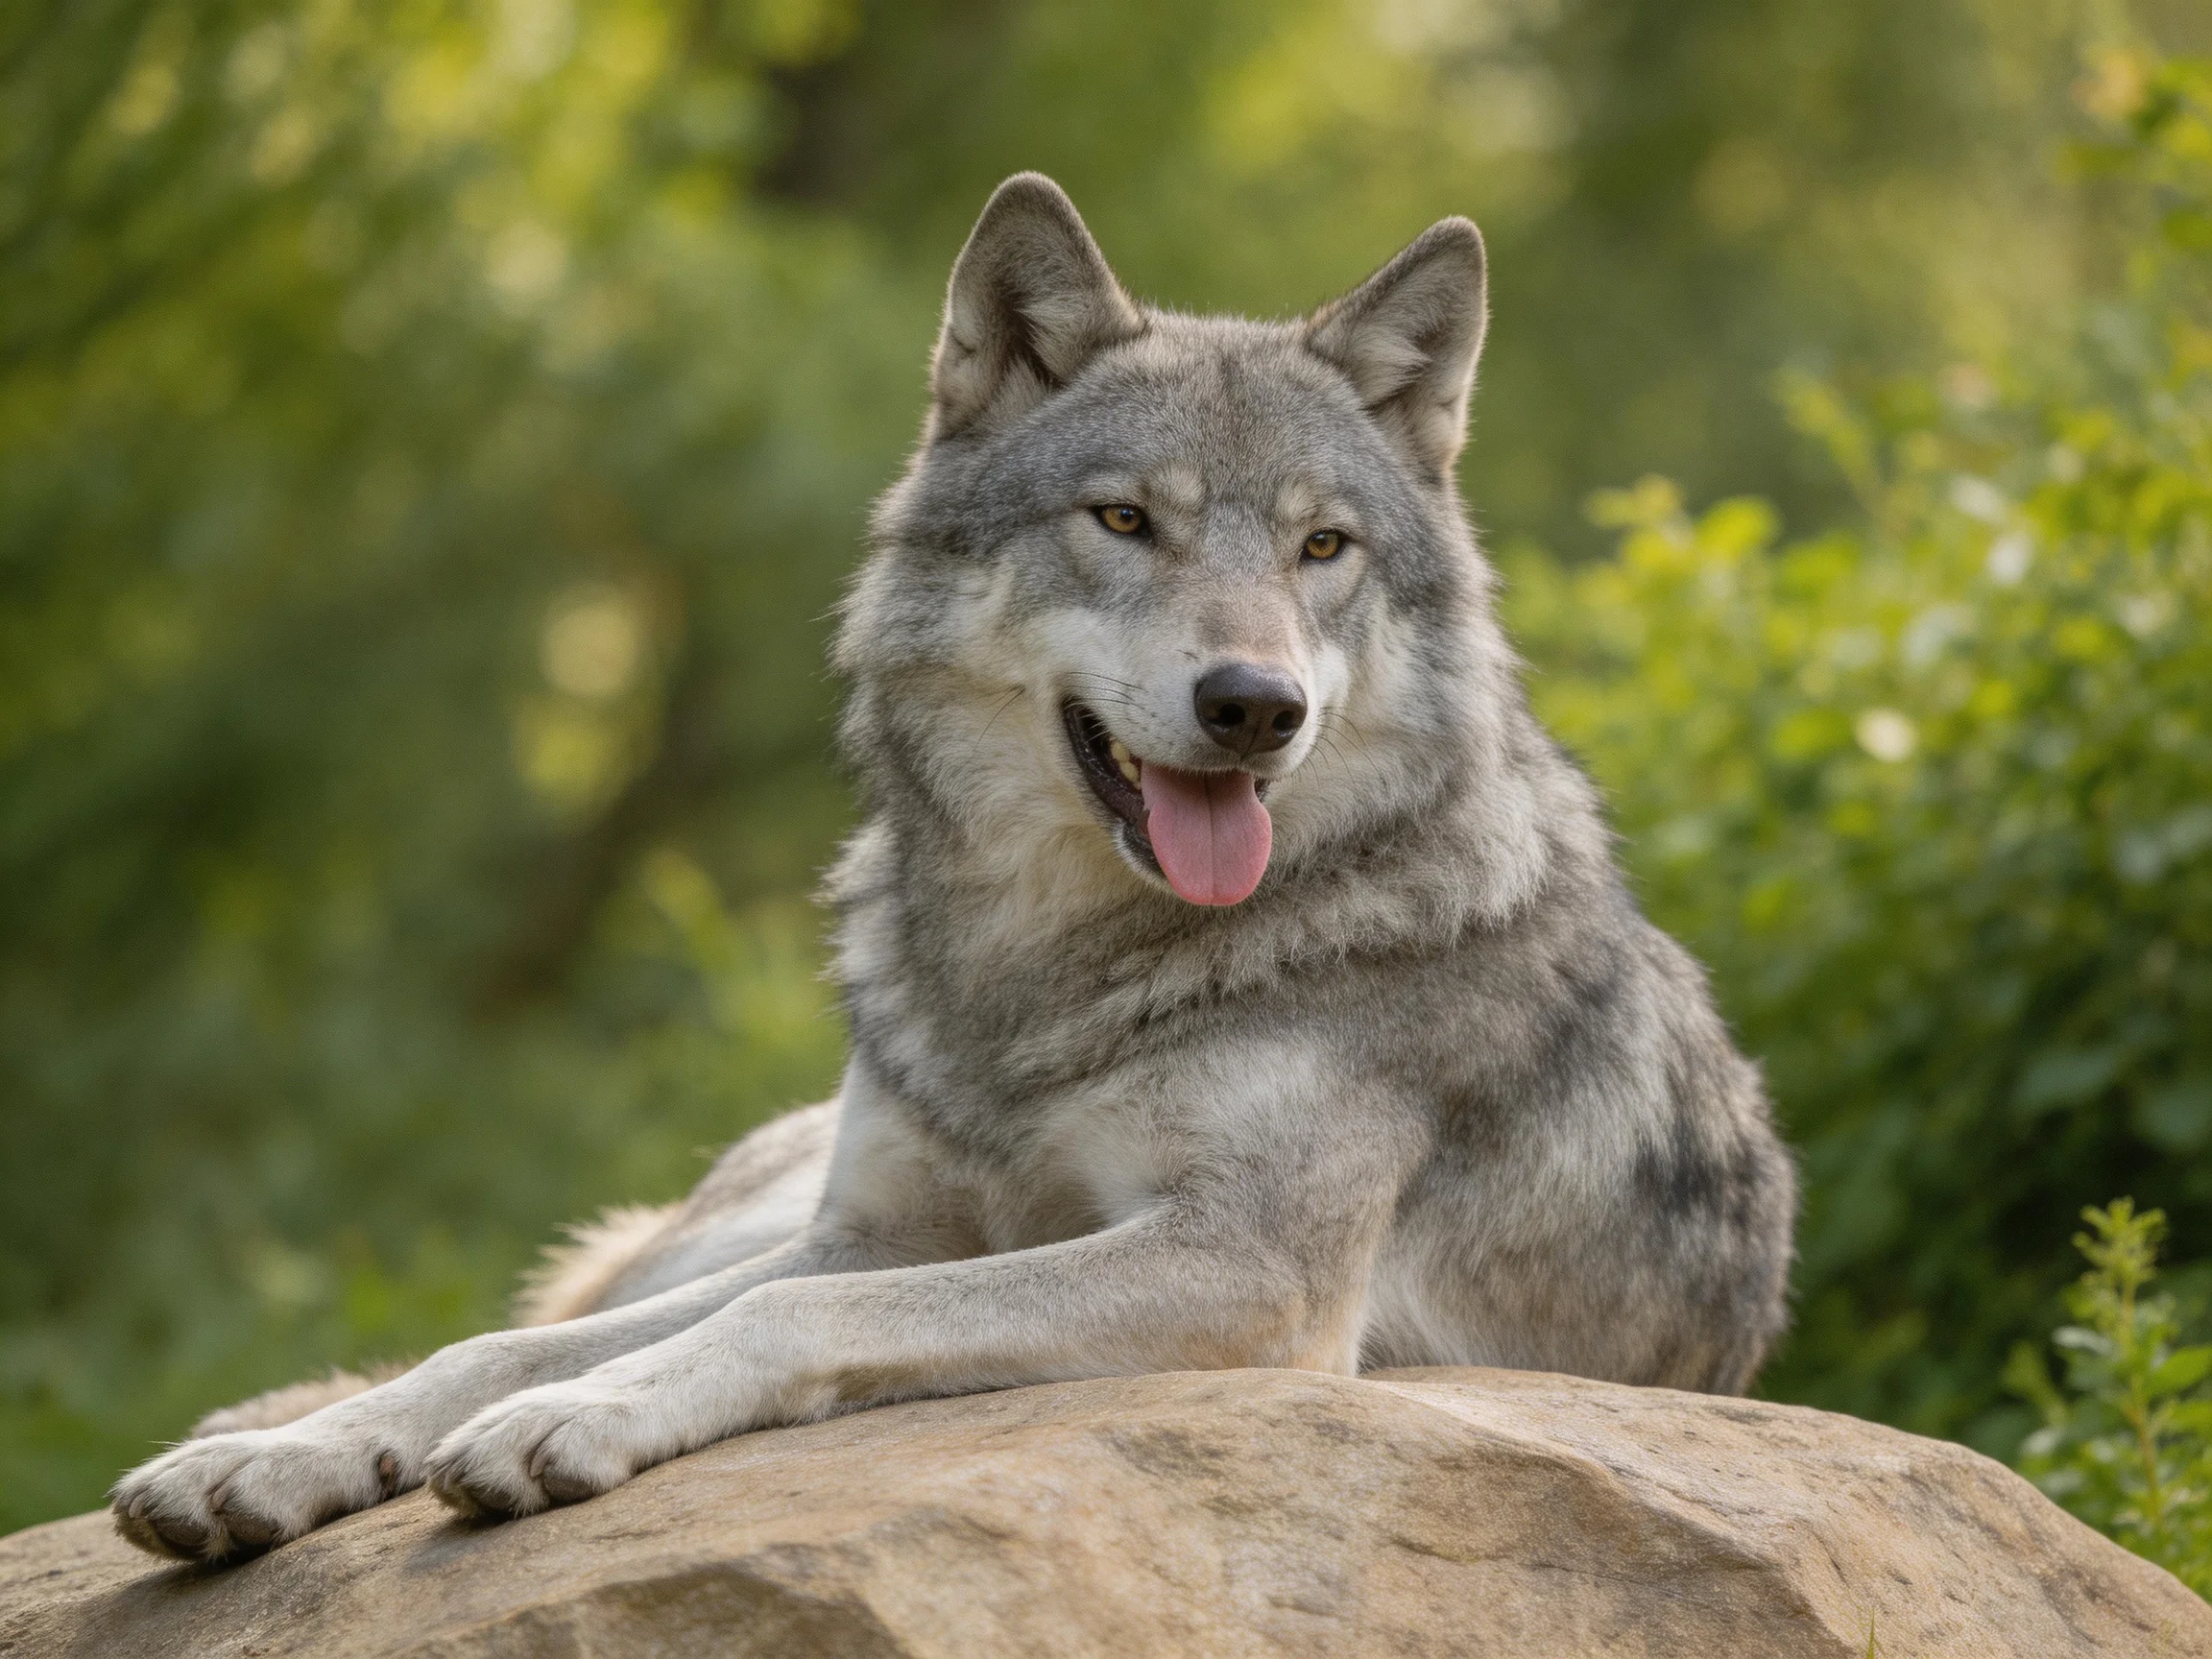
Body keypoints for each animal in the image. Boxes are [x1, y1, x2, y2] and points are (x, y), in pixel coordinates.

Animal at [113, 174, 1795, 1563]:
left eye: (1324, 549)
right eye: (1124, 519)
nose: (1257, 706)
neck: (1037, 974)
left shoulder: (1247, 1273)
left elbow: (786, 1319)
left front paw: (565, 1425)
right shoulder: (873, 1228)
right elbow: (506, 1348)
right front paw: (289, 1458)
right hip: (737, 1206)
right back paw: (251, 1427)